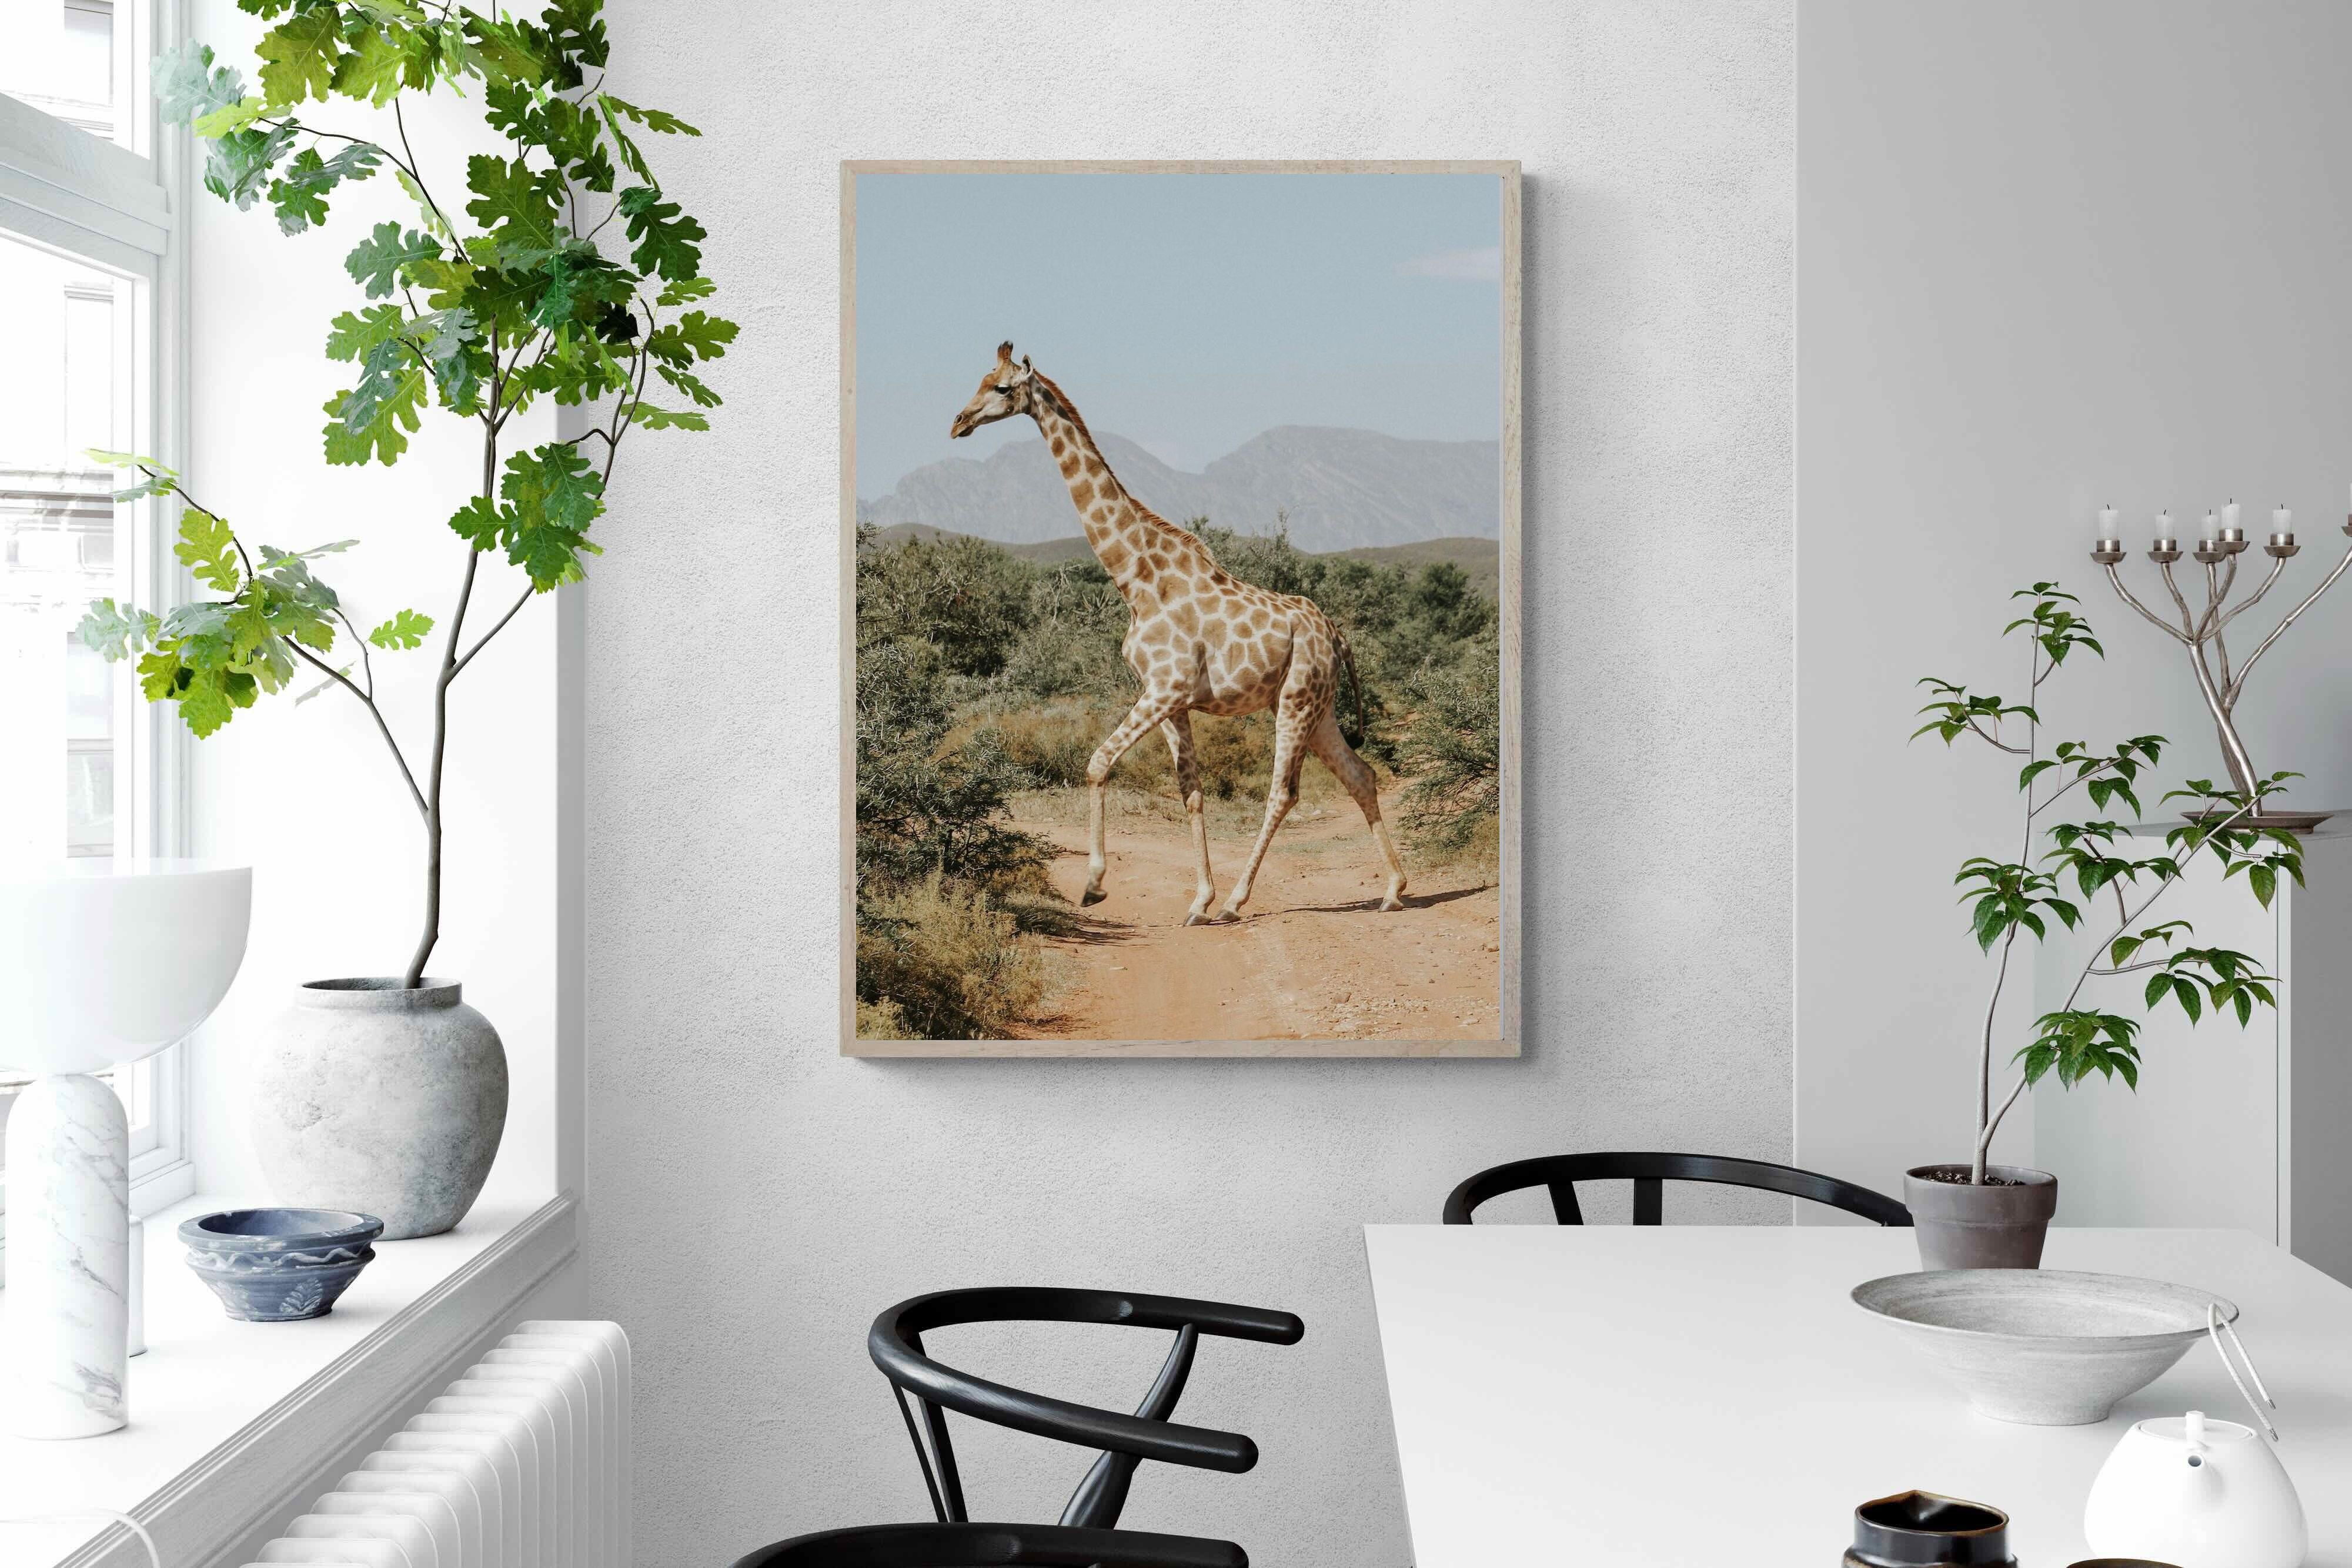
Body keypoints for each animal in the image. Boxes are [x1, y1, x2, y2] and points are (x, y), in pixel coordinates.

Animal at [950, 341, 1409, 925]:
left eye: (1003, 388)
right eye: (979, 379)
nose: (959, 423)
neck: (1136, 578)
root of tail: (1336, 635)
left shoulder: (1165, 688)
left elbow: (1098, 762)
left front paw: (1095, 884)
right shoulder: (1170, 699)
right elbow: (1191, 791)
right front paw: (1197, 900)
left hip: (1297, 700)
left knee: (1283, 792)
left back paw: (1238, 902)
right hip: (1319, 706)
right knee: (1361, 775)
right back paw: (1393, 888)